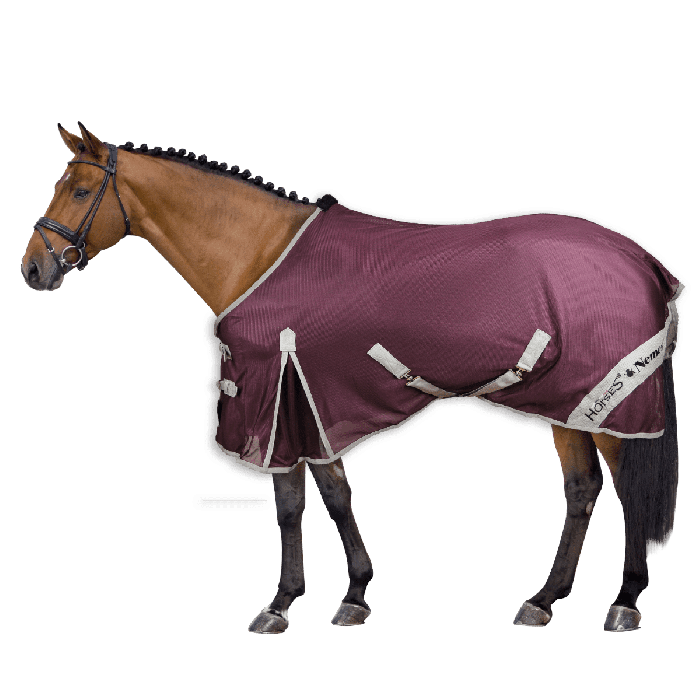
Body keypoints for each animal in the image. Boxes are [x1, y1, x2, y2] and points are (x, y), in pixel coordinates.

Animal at [21, 123, 685, 634]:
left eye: (80, 190)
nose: (33, 267)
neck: (258, 253)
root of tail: (645, 260)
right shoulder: (311, 398)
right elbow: (334, 495)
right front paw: (353, 596)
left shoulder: (277, 395)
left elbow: (290, 503)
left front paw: (279, 606)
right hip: (567, 407)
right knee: (581, 491)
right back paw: (542, 601)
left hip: (607, 408)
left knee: (625, 492)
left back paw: (624, 602)